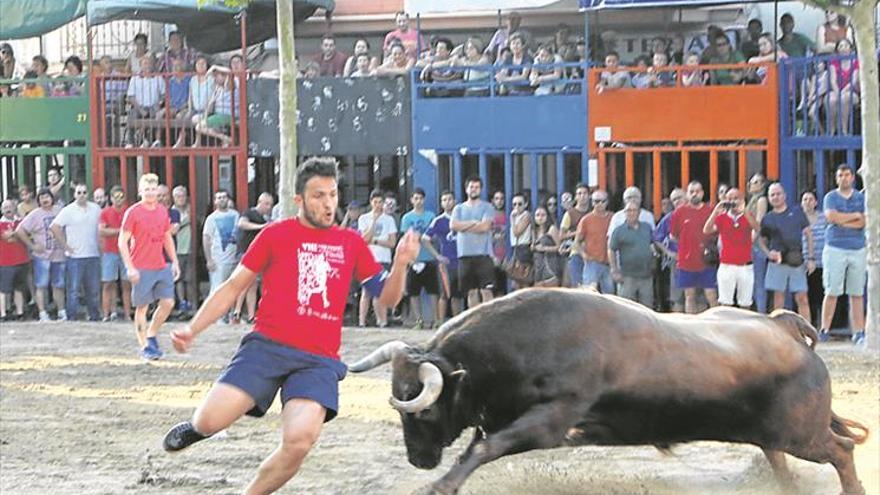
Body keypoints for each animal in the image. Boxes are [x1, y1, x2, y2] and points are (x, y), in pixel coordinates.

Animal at [348, 288, 868, 495]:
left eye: (420, 410)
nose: (418, 459)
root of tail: (784, 328)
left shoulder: (551, 420)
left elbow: (485, 449)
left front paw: (441, 484)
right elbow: (480, 444)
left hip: (804, 434)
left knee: (841, 450)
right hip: (773, 434)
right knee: (779, 457)